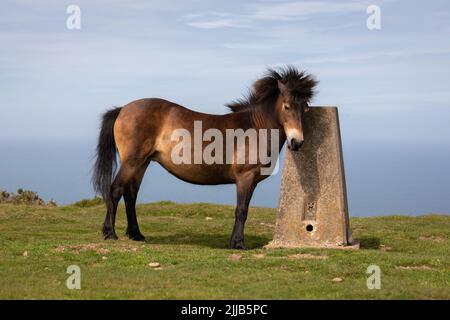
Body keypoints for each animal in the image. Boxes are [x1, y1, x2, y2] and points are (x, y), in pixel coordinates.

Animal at [91, 66, 316, 249]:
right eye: (287, 106)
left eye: (305, 107)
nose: (297, 141)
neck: (255, 128)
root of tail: (123, 109)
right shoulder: (245, 177)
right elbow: (241, 210)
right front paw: (237, 243)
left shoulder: (251, 182)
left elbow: (243, 210)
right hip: (132, 162)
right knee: (115, 190)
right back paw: (110, 233)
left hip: (142, 163)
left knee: (130, 195)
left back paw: (136, 234)